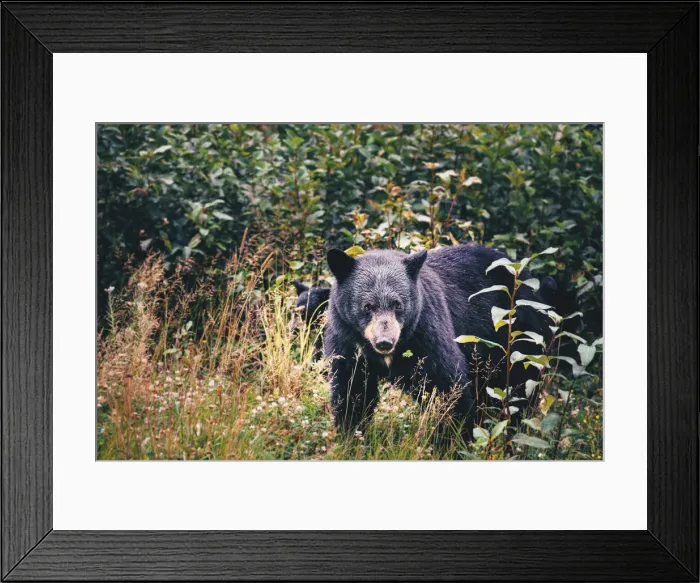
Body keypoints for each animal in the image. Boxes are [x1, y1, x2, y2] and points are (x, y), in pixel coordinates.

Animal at [324, 243, 553, 440]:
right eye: (367, 306)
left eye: (397, 304)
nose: (384, 342)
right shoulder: (347, 340)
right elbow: (352, 391)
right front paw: (350, 436)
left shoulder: (427, 332)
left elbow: (448, 385)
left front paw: (455, 440)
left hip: (522, 341)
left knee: (519, 390)